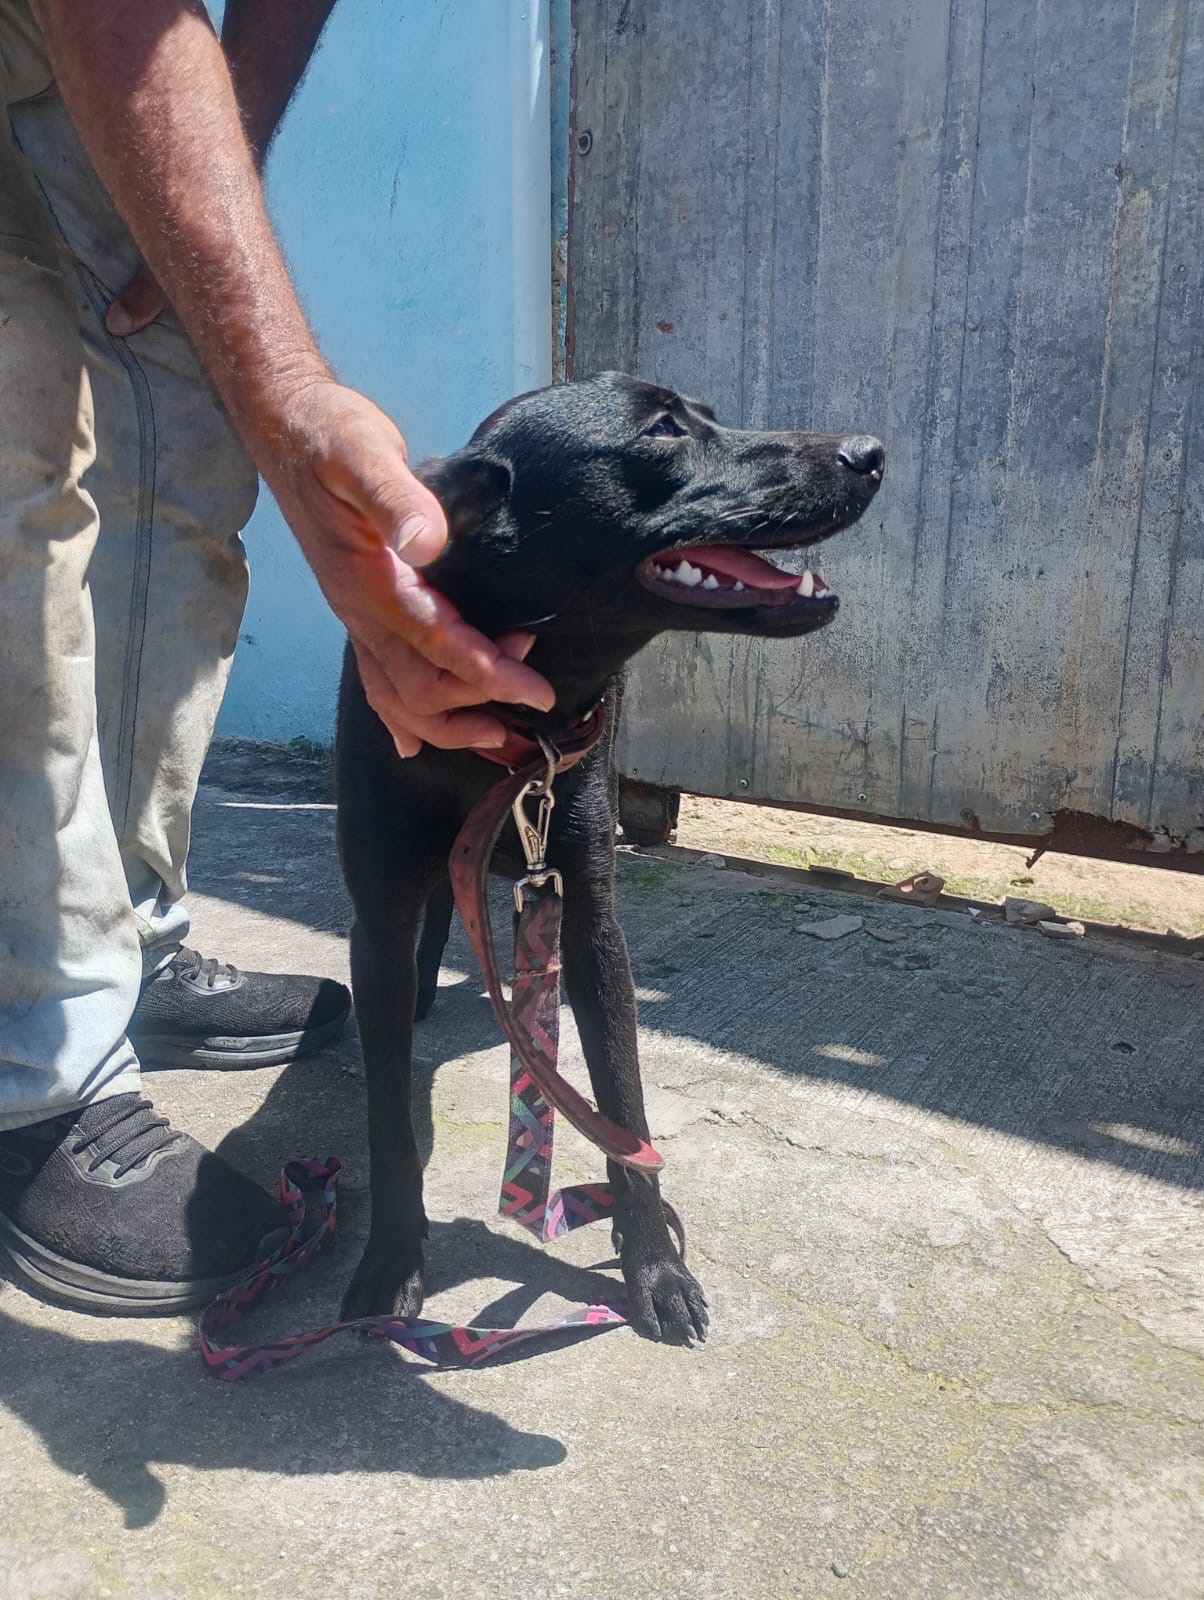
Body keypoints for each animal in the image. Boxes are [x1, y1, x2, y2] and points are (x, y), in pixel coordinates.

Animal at [335, 371, 884, 1344]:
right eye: (663, 430)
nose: (871, 452)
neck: (511, 738)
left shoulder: (589, 920)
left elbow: (621, 1108)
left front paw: (655, 1265)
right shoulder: (380, 914)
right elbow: (390, 1122)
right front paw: (391, 1261)